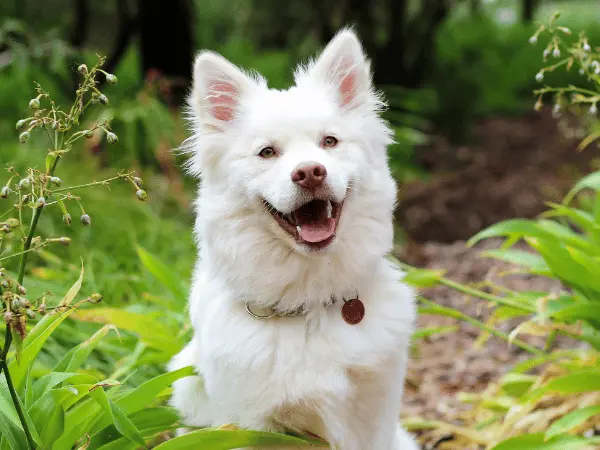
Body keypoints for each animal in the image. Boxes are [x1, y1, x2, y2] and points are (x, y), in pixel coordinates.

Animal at [170, 29, 418, 450]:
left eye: (329, 142)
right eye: (267, 152)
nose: (309, 172)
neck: (309, 303)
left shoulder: (374, 420)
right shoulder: (251, 425)